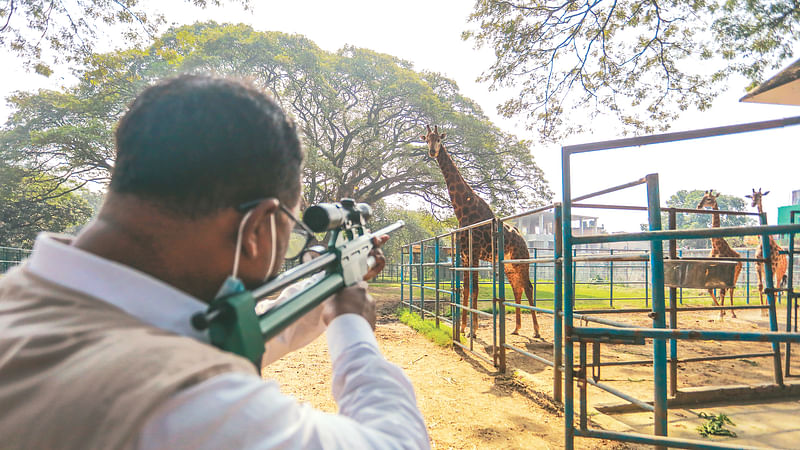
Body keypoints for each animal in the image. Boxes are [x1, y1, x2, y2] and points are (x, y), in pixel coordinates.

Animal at [418, 125, 544, 336]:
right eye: (426, 139)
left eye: (439, 139)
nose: (432, 152)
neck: (463, 210)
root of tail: (522, 238)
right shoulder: (464, 255)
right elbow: (465, 289)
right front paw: (462, 328)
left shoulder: (474, 252)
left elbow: (475, 289)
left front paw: (473, 330)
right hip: (509, 265)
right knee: (517, 288)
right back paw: (516, 328)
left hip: (521, 260)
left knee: (528, 287)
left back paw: (536, 331)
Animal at [696, 190, 748, 320]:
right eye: (703, 196)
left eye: (709, 199)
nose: (699, 206)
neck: (716, 246)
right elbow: (711, 290)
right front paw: (721, 311)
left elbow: (721, 291)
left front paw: (722, 312)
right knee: (724, 290)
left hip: (735, 274)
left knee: (731, 290)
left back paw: (733, 313)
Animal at [744, 187, 788, 316]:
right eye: (751, 196)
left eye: (760, 196)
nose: (753, 203)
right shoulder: (758, 265)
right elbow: (760, 286)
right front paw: (762, 311)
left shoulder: (772, 266)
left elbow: (770, 287)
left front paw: (767, 311)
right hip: (765, 271)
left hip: (780, 272)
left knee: (777, 286)